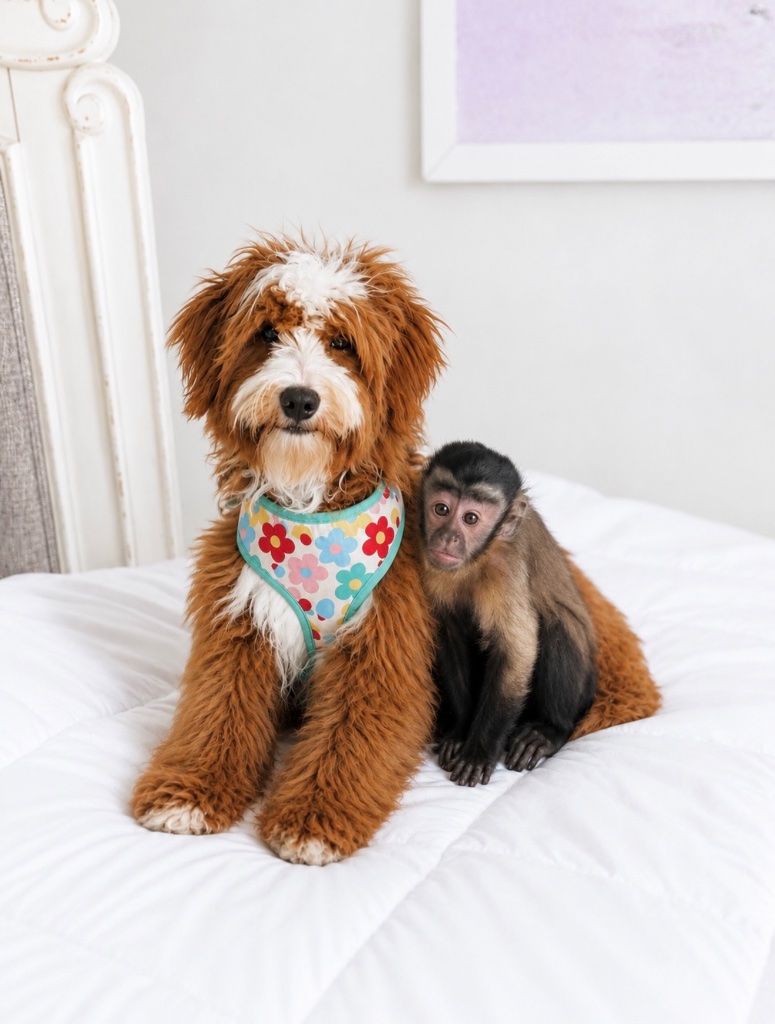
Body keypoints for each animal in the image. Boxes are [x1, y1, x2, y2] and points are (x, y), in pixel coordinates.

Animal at [418, 441, 598, 786]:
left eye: (471, 518)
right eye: (441, 510)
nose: (448, 537)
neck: (477, 560)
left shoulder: (506, 570)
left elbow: (517, 653)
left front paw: (478, 752)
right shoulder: (431, 563)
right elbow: (451, 638)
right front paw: (460, 734)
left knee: (556, 625)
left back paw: (548, 731)